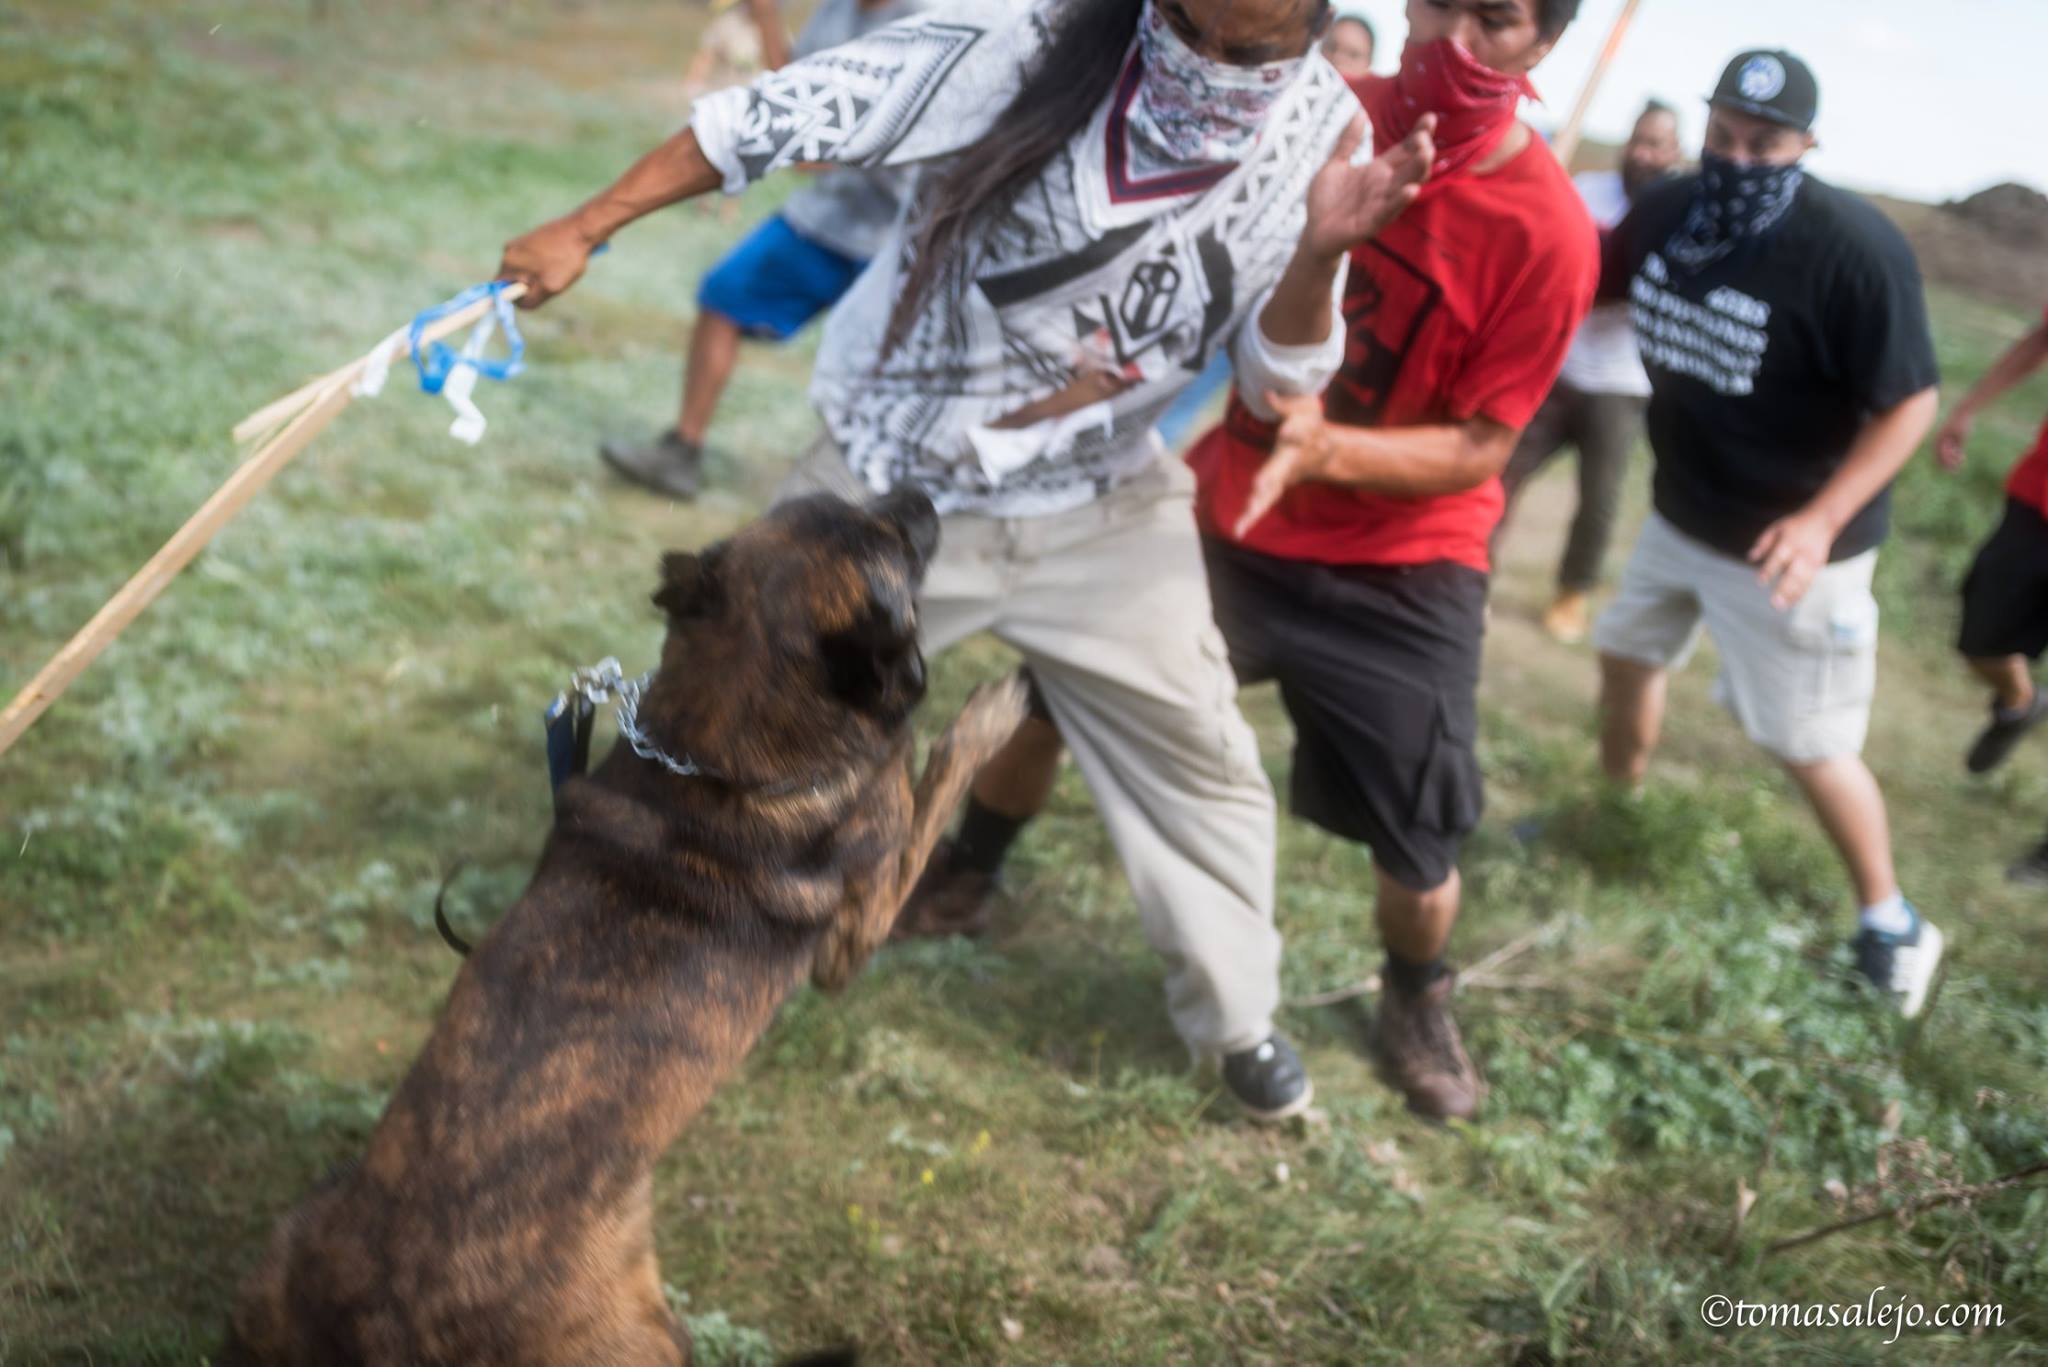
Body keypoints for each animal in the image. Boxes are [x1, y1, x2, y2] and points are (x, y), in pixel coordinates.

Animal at [228, 485, 1024, 1360]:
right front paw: (994, 711)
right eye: (898, 549)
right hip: (646, 1328)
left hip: (293, 1232)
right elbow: (937, 775)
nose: (922, 494)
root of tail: (381, 1332)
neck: (717, 746)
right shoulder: (859, 925)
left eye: (825, 498)